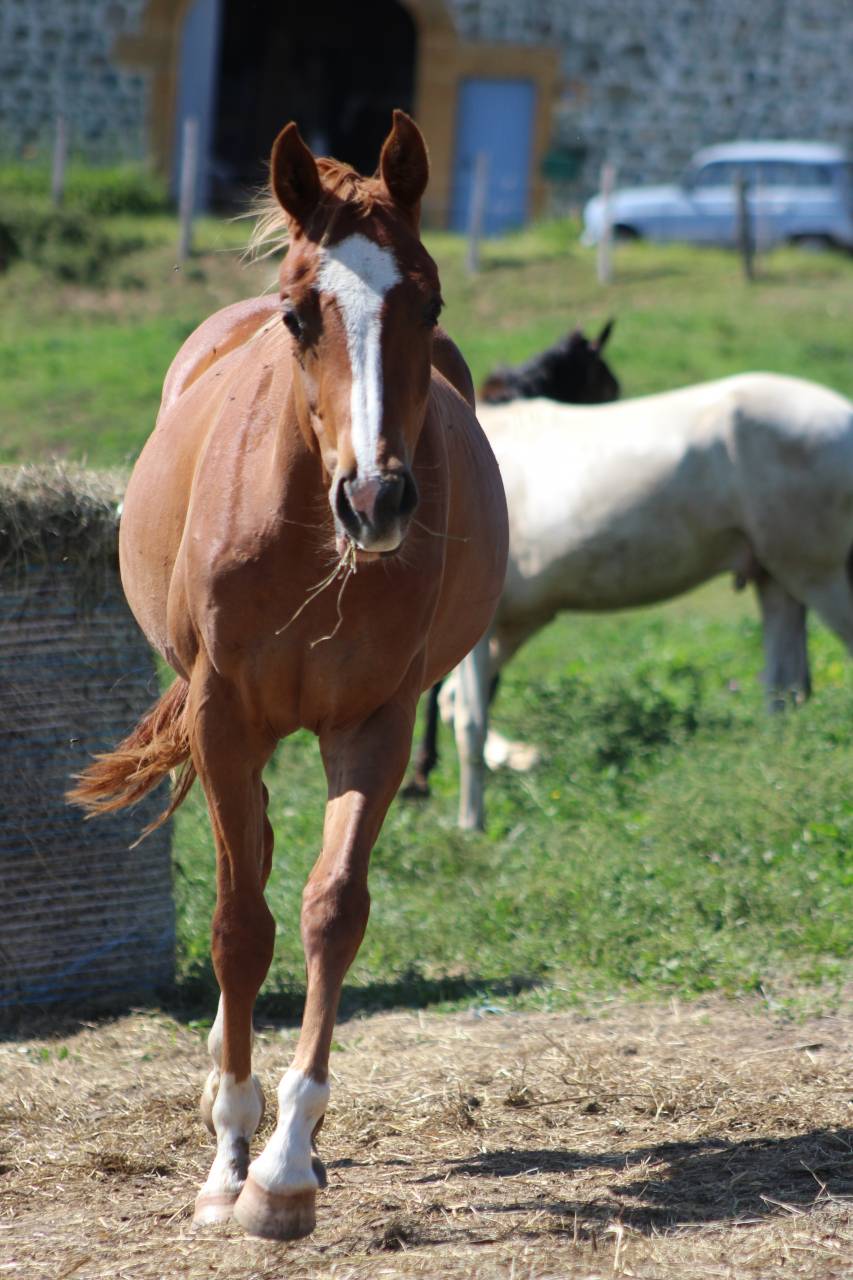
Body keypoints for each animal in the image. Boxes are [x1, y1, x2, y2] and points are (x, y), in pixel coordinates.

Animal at [69, 112, 508, 1240]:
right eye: (300, 314)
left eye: (428, 300)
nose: (377, 498)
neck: (311, 533)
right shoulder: (223, 714)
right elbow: (238, 923)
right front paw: (228, 1157)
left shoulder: (378, 722)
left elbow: (328, 911)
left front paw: (285, 1169)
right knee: (248, 867)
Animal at [433, 373, 853, 828]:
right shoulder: (512, 623)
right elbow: (454, 704)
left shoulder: (486, 629)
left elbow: (469, 720)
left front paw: (471, 824)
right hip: (778, 579)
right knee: (783, 694)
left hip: (818, 577)